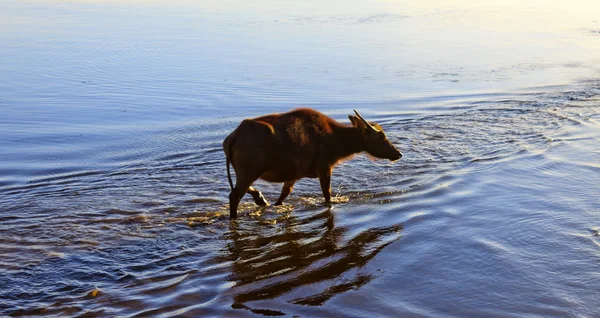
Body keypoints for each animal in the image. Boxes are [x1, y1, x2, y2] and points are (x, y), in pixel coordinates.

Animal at [223, 108, 400, 217]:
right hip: (249, 171)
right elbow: (327, 195)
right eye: (381, 136)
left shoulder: (293, 175)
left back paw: (260, 199)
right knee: (234, 196)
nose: (398, 154)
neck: (338, 139)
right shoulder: (325, 168)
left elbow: (283, 196)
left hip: (243, 171)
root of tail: (233, 136)